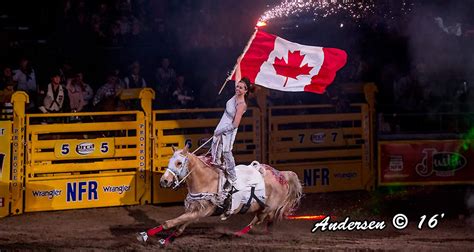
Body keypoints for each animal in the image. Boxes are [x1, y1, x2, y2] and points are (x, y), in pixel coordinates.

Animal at [135, 146, 302, 246]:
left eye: (179, 163)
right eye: (170, 161)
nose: (164, 181)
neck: (207, 180)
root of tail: (281, 175)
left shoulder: (204, 210)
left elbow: (170, 222)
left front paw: (145, 235)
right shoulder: (195, 210)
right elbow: (180, 225)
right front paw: (165, 240)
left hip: (267, 208)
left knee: (259, 220)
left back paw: (238, 234)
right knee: (266, 220)